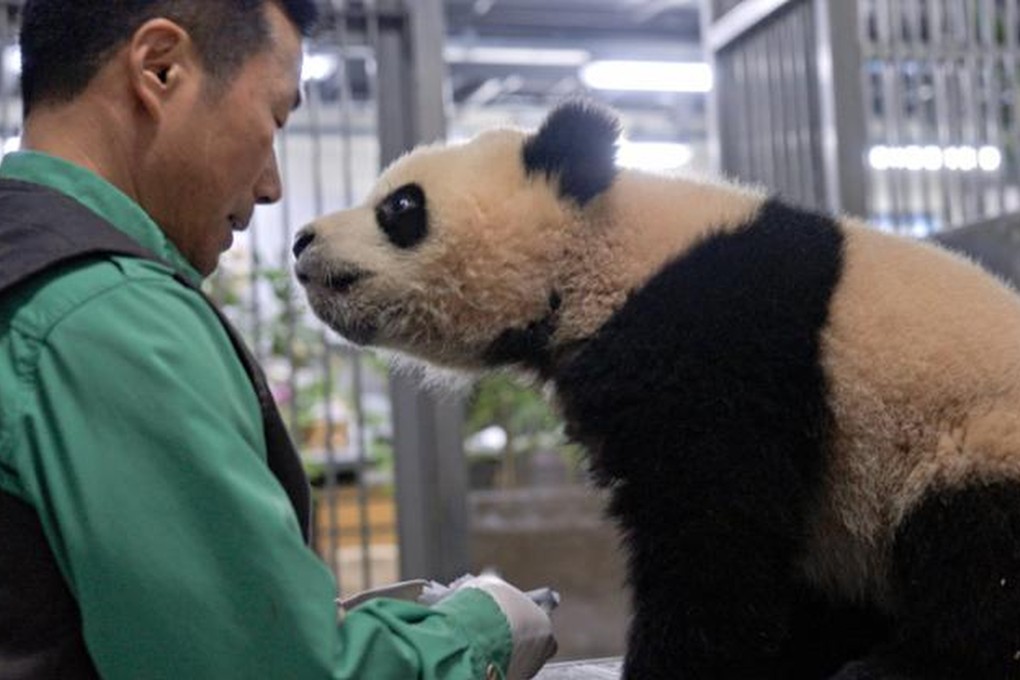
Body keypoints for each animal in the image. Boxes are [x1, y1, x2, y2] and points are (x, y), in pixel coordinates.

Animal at [289, 99, 1020, 680]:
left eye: (400, 206)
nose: (300, 239)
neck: (604, 253)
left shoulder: (720, 334)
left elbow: (715, 520)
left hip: (973, 439)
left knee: (977, 557)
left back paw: (900, 666)